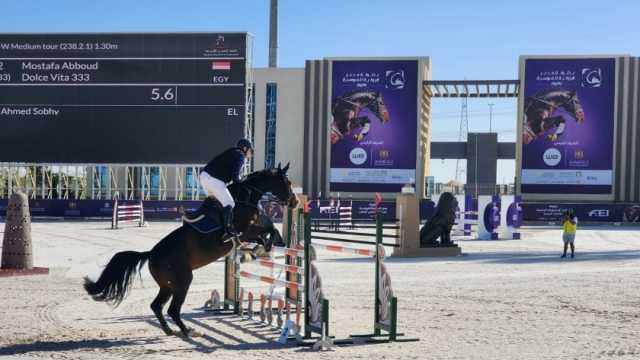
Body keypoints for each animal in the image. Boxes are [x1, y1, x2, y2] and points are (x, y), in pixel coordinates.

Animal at [82, 163, 298, 338]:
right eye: (286, 182)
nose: (295, 201)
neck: (244, 198)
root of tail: (151, 253)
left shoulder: (247, 232)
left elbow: (266, 231)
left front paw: (259, 249)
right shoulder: (245, 231)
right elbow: (268, 229)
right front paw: (264, 247)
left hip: (167, 286)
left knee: (157, 306)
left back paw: (170, 330)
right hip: (183, 281)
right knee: (172, 310)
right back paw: (188, 331)